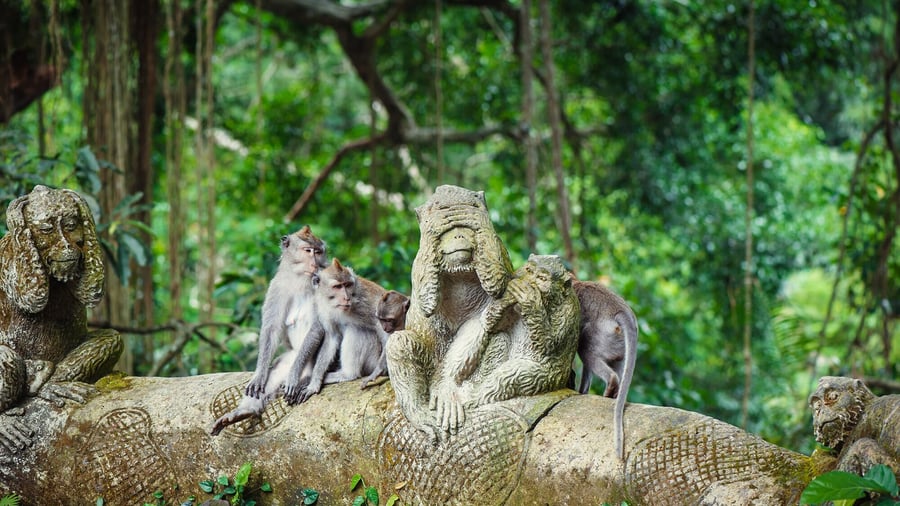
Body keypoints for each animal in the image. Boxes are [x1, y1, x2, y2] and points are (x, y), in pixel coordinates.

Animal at [210, 226, 326, 436]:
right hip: (289, 357)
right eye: (308, 251)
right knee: (275, 372)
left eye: (319, 252)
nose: (315, 263)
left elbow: (317, 327)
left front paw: (293, 377)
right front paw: (258, 375)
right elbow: (271, 329)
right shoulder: (277, 285)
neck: (300, 279)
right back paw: (245, 411)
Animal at [283, 258, 388, 405]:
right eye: (337, 286)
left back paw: (348, 374)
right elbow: (332, 337)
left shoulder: (366, 302)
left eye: (348, 285)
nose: (346, 297)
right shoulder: (322, 307)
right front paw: (314, 383)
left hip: (373, 359)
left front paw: (379, 370)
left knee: (357, 330)